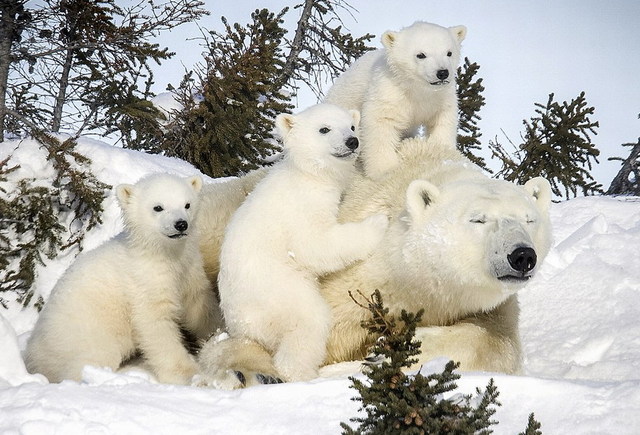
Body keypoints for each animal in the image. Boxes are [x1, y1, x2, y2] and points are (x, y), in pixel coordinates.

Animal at [198, 138, 552, 386]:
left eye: (529, 219)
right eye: (477, 219)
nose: (522, 256)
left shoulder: (486, 305)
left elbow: (498, 342)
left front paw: (389, 351)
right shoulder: (357, 279)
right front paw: (251, 371)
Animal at [324, 21, 464, 179]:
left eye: (449, 53)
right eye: (421, 55)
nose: (442, 73)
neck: (416, 89)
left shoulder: (440, 97)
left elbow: (443, 120)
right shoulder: (389, 92)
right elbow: (381, 123)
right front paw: (384, 170)